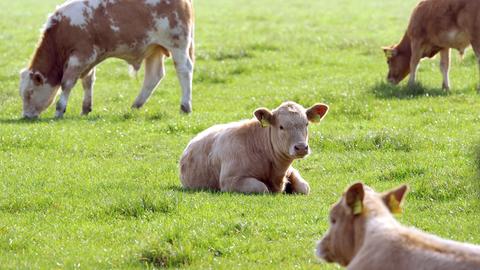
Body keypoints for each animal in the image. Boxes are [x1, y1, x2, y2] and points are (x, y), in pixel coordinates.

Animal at [18, 0, 195, 118]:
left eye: (29, 93)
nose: (26, 116)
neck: (61, 32)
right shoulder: (89, 60)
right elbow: (87, 82)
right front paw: (85, 109)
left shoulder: (80, 56)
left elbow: (67, 83)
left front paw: (59, 110)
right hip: (154, 49)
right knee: (154, 76)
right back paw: (136, 105)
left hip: (177, 44)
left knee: (184, 70)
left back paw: (185, 106)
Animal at [178, 102, 328, 194]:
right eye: (281, 127)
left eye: (306, 124)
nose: (301, 147)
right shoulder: (230, 180)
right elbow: (262, 188)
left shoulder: (290, 171)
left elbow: (304, 187)